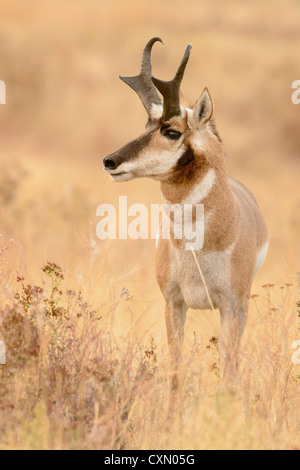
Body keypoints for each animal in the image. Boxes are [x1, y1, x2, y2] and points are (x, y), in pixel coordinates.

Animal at [103, 36, 270, 382]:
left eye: (172, 131)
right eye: (147, 125)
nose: (110, 161)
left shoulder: (230, 307)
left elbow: (227, 371)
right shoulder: (174, 304)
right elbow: (176, 369)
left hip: (243, 307)